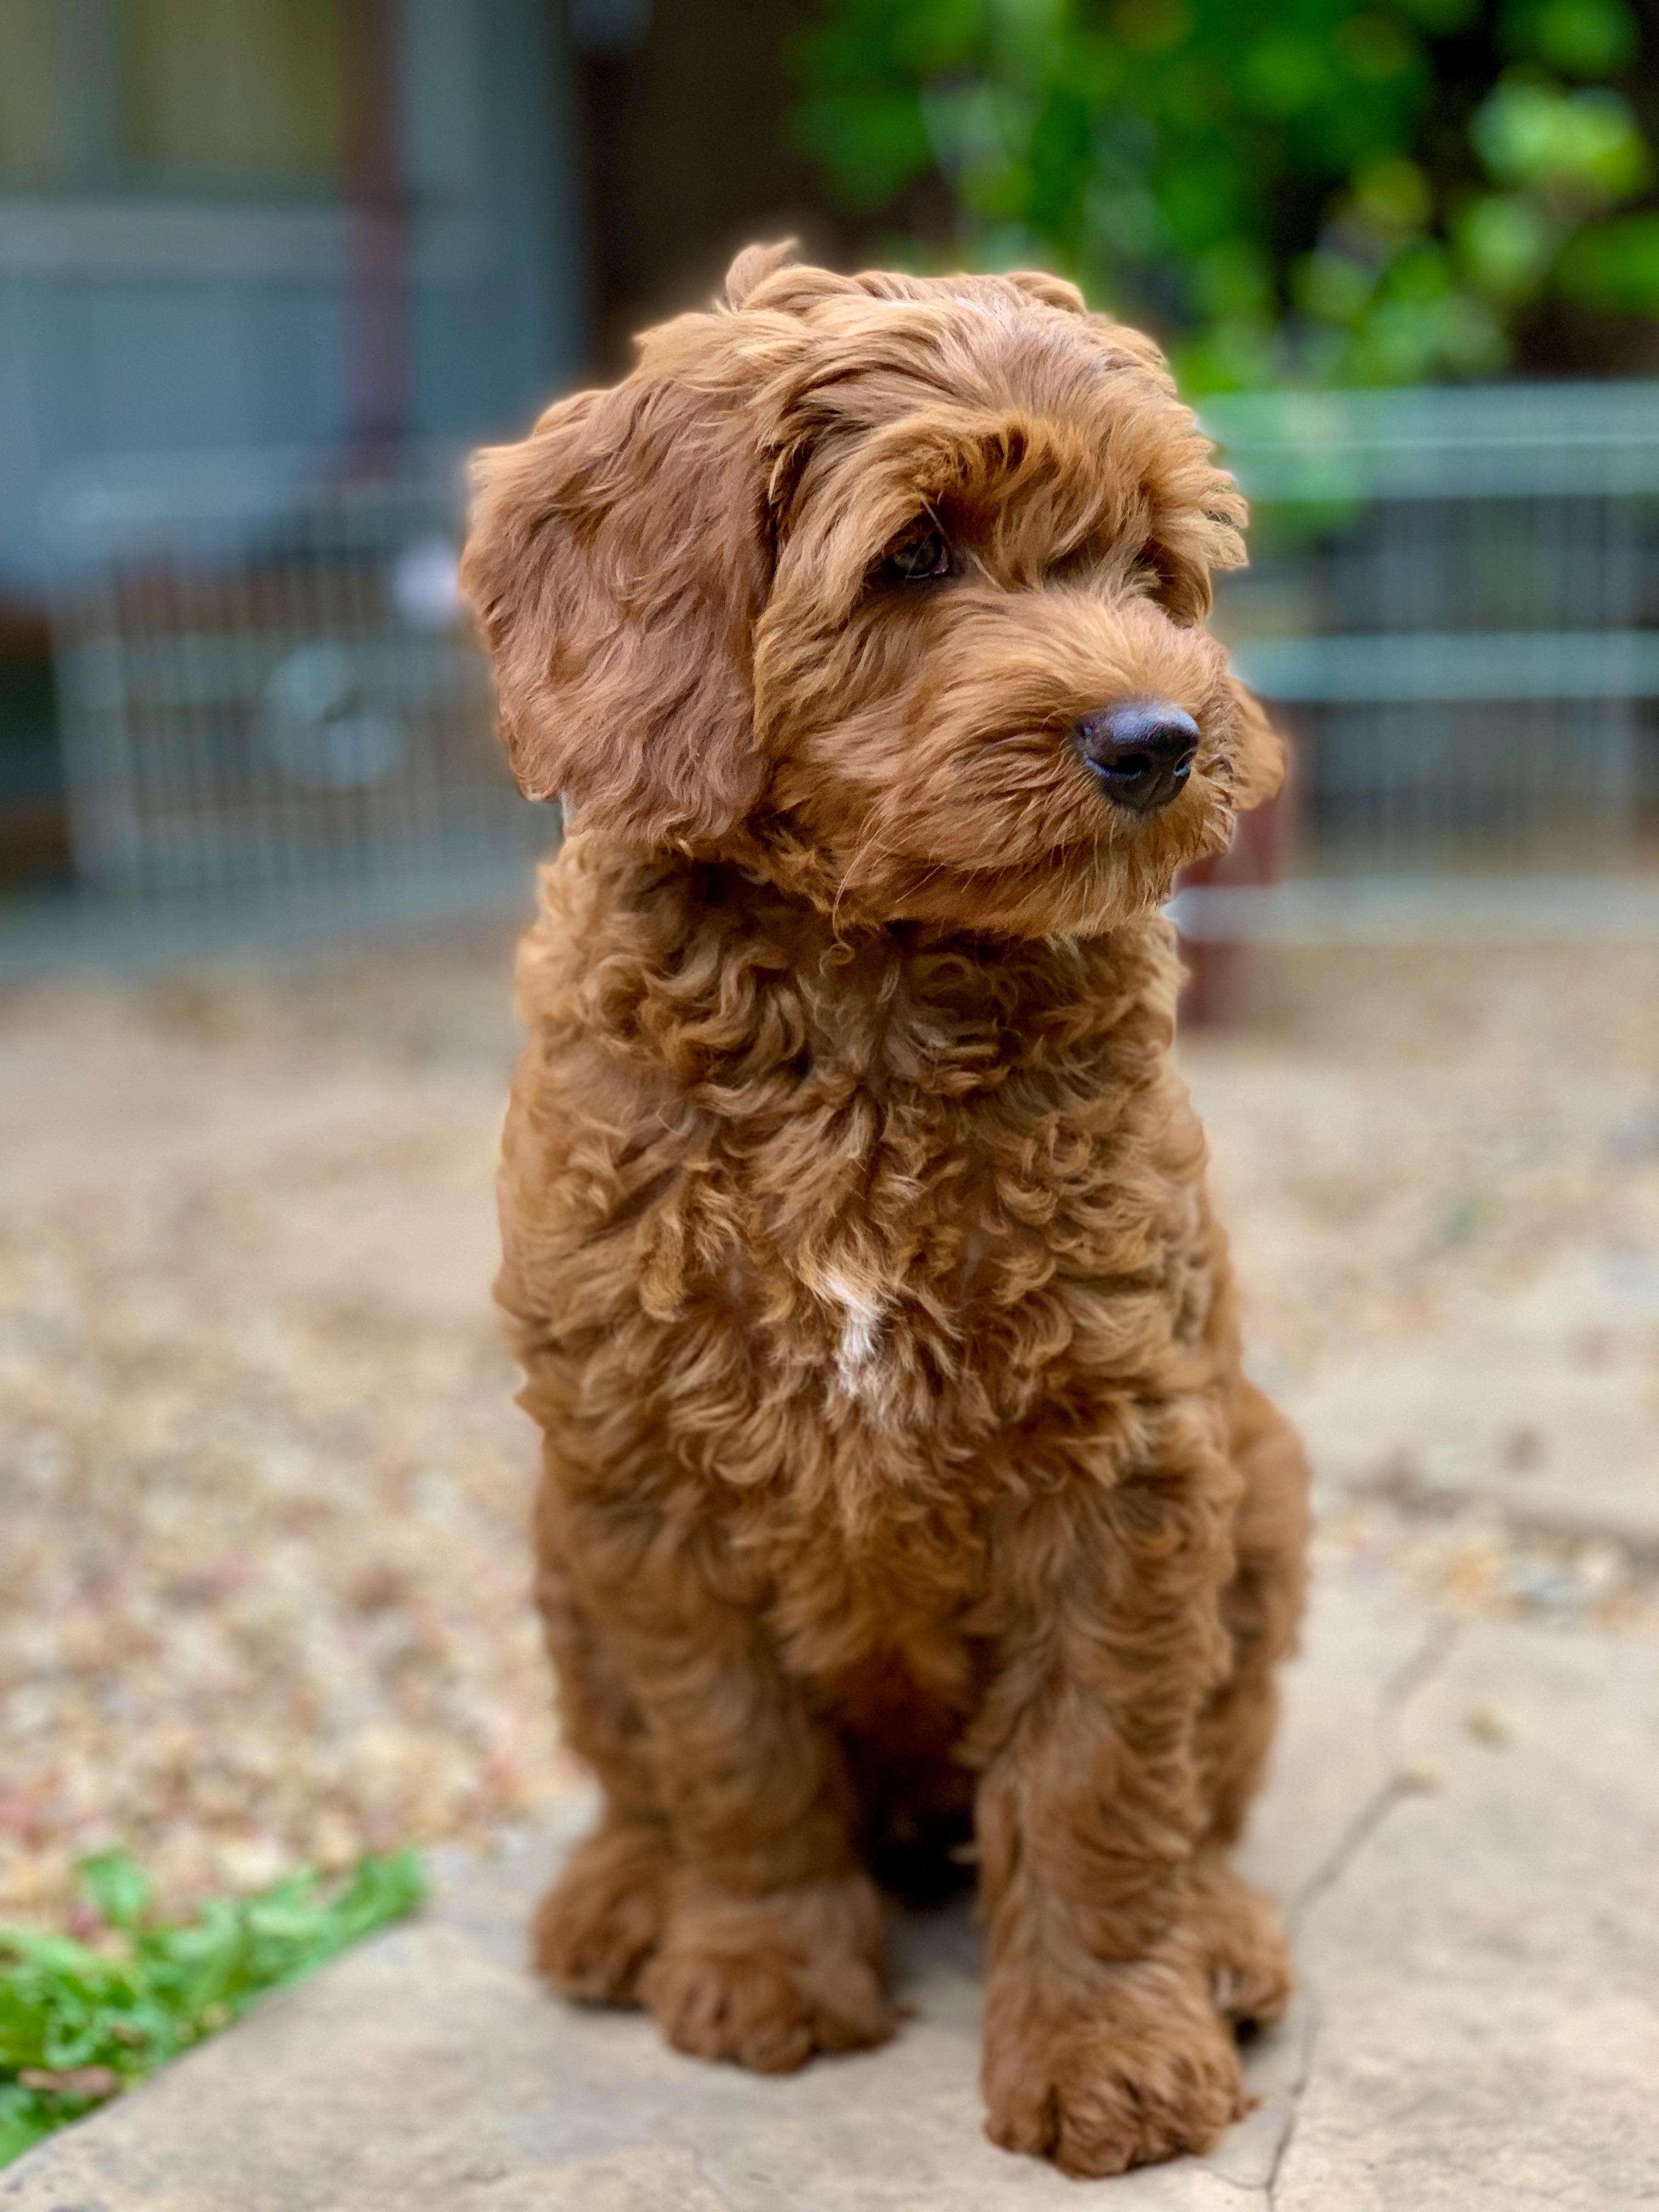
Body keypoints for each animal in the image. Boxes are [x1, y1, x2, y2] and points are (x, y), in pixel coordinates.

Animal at [464, 242, 1309, 2176]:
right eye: (917, 553)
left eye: (1149, 572)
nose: (1162, 737)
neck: (865, 1002)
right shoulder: (647, 1470)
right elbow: (728, 1752)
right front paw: (765, 1972)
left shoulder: (1130, 1461)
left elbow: (1104, 1780)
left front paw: (1110, 2049)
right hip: (557, 1531)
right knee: (636, 1777)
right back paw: (621, 1902)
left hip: (1272, 1486)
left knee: (1207, 1796)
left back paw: (1222, 1937)